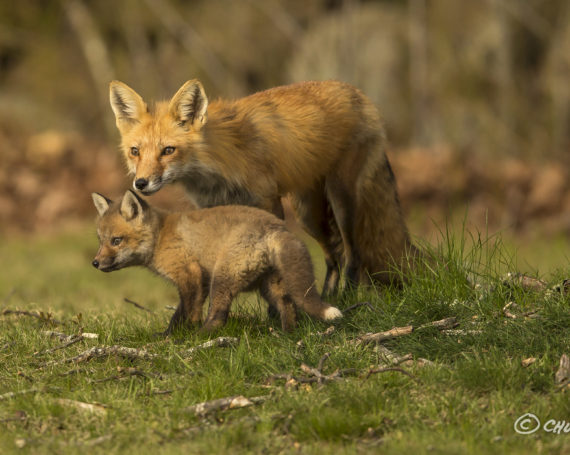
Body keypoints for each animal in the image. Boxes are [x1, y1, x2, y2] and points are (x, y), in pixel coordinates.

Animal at [90, 191, 340, 334]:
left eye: (116, 241)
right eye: (101, 241)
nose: (95, 263)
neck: (160, 237)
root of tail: (276, 227)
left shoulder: (190, 273)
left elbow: (185, 313)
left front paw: (177, 338)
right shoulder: (197, 280)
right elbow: (181, 313)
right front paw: (171, 334)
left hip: (222, 278)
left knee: (219, 317)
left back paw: (201, 336)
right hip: (271, 285)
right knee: (289, 308)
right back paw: (287, 335)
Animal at [108, 79, 414, 296]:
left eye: (168, 150)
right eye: (135, 152)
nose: (141, 183)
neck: (217, 163)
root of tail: (360, 94)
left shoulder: (269, 203)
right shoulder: (214, 210)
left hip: (341, 200)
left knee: (353, 255)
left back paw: (348, 300)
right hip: (309, 215)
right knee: (334, 257)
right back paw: (329, 297)